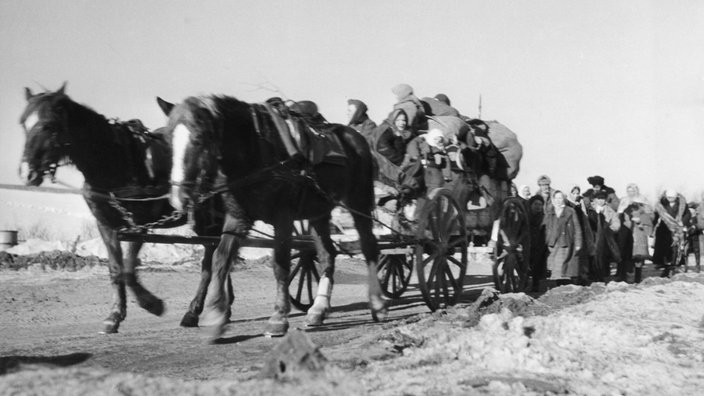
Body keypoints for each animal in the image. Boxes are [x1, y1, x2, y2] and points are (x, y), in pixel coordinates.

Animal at [17, 83, 232, 334]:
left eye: (49, 125)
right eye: (24, 123)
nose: (27, 172)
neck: (115, 160)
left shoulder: (139, 225)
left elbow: (129, 269)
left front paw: (152, 304)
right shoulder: (106, 225)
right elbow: (116, 268)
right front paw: (114, 315)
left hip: (208, 221)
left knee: (210, 262)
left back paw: (194, 312)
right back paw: (224, 307)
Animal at [159, 94, 388, 338]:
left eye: (199, 138)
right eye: (168, 140)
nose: (178, 197)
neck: (255, 151)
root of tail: (356, 138)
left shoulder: (283, 218)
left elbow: (280, 265)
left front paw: (278, 317)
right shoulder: (237, 217)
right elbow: (221, 259)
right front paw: (216, 315)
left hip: (359, 201)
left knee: (369, 247)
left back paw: (377, 304)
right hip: (319, 212)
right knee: (328, 254)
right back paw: (318, 309)